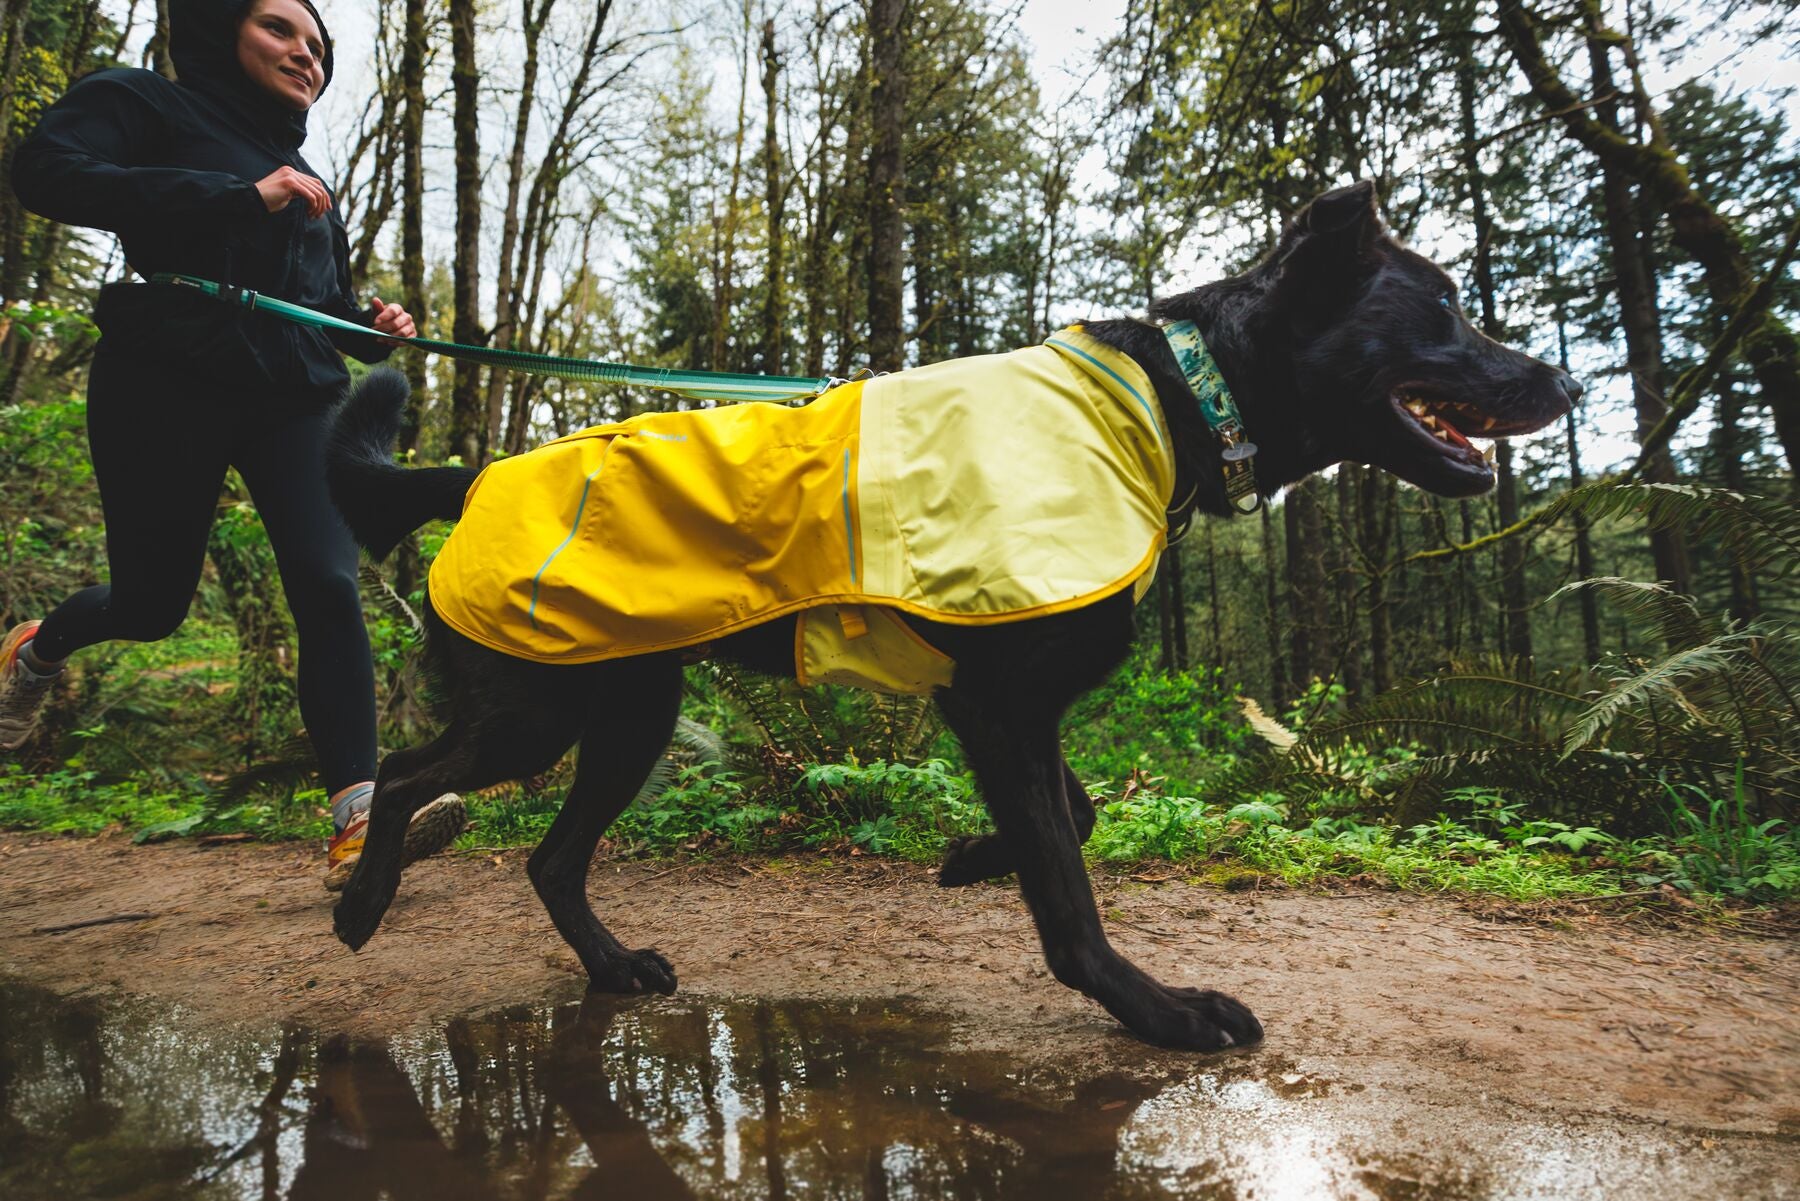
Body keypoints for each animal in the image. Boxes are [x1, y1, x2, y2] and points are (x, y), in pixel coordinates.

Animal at [324, 180, 1576, 1051]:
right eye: (1448, 312)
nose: (1564, 377)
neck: (1170, 397)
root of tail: (473, 477)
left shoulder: (1004, 703)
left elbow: (1071, 815)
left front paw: (976, 855)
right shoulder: (1004, 701)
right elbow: (1068, 896)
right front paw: (1160, 1011)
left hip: (629, 708)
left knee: (549, 858)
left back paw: (610, 965)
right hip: (538, 707)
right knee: (405, 775)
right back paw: (363, 902)